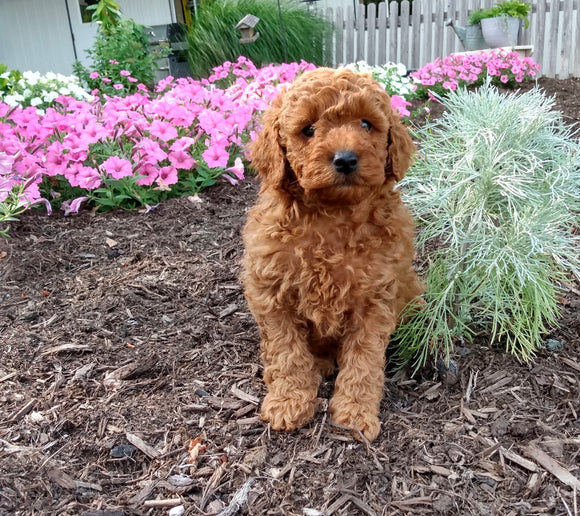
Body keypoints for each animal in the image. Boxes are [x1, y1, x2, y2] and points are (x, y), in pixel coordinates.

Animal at [240, 66, 422, 442]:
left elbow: (364, 360)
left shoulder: (375, 298)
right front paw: (288, 402)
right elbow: (286, 353)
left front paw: (355, 413)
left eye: (366, 124)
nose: (346, 159)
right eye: (308, 129)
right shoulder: (272, 293)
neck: (332, 215)